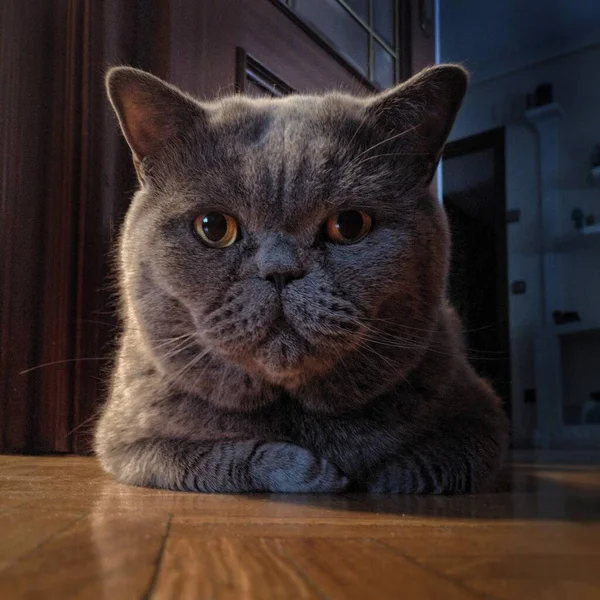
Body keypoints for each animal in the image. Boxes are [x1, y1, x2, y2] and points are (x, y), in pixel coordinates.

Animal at [96, 65, 508, 494]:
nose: (279, 270)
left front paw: (371, 480)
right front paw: (315, 472)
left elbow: (422, 467)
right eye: (213, 227)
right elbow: (213, 457)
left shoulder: (484, 422)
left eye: (350, 225)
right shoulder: (125, 443)